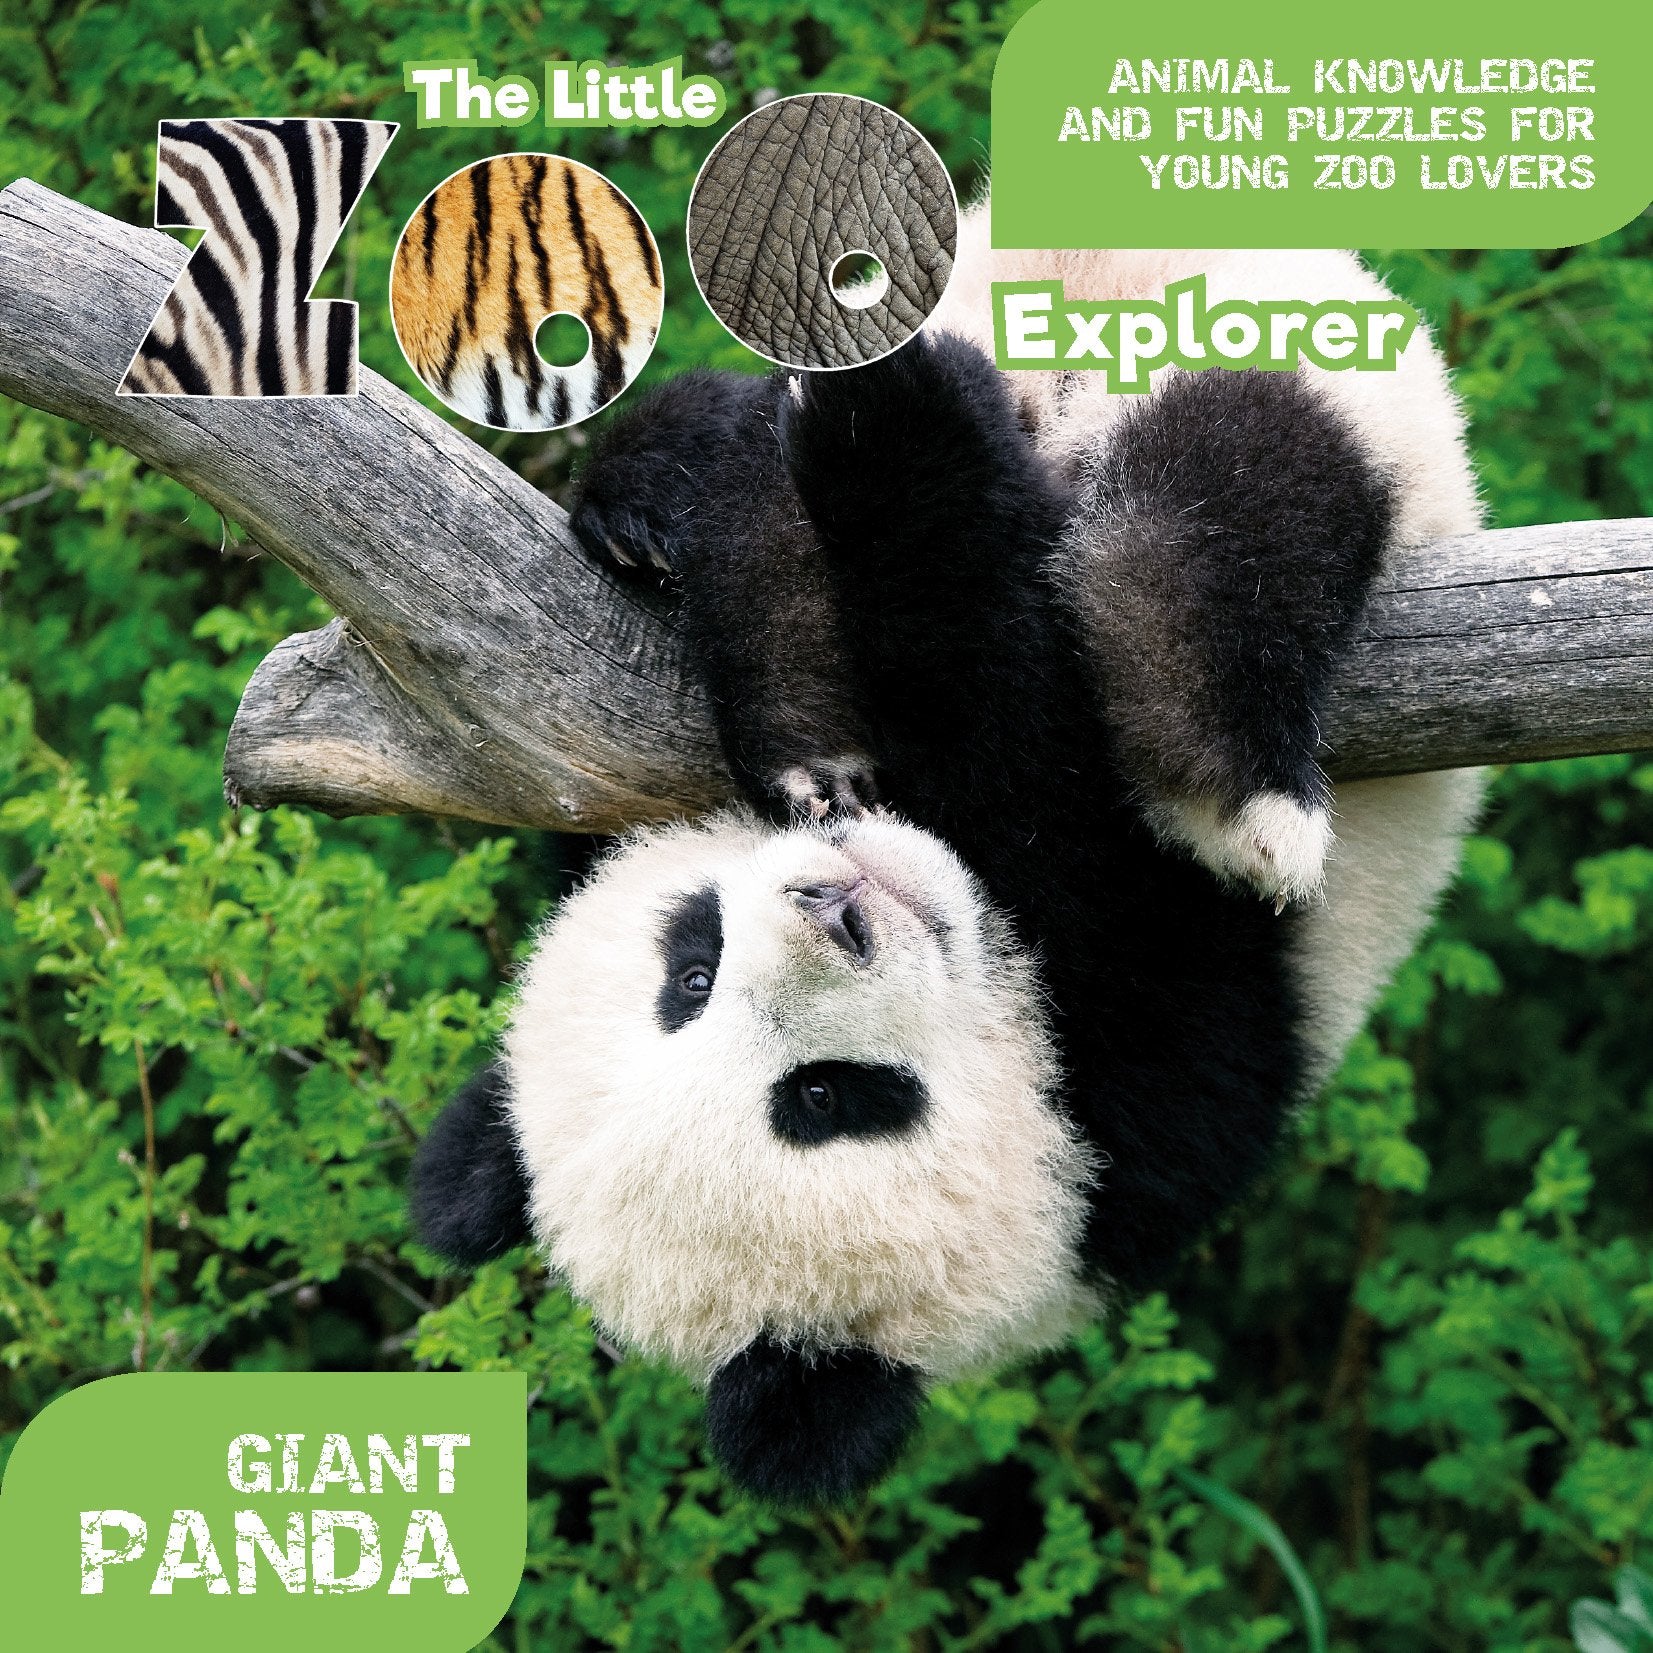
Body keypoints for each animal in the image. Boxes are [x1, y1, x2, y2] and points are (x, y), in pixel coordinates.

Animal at [411, 198, 1484, 1506]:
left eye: (689, 969)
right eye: (825, 1097)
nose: (837, 901)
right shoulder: (1155, 1090)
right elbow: (1027, 742)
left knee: (1218, 468)